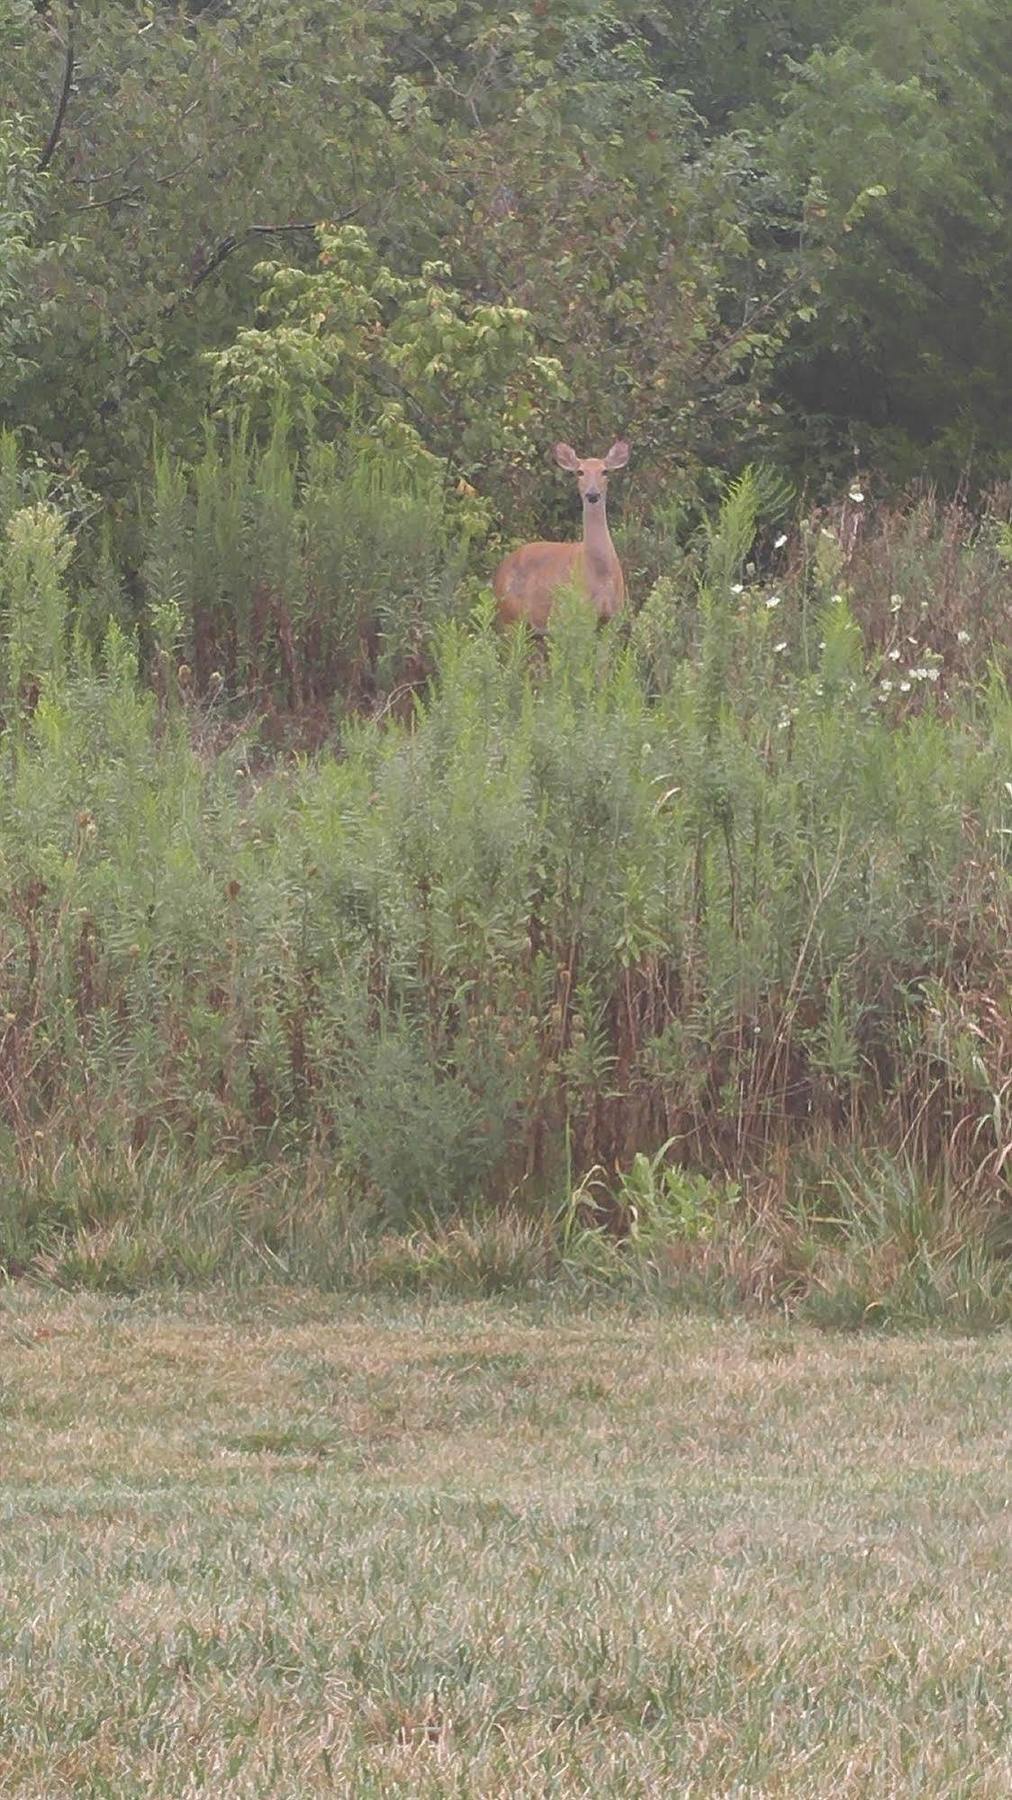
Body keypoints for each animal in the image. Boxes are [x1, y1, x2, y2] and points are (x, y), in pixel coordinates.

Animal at [489, 435, 626, 633]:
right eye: (580, 472)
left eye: (605, 471)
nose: (592, 494)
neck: (599, 573)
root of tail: (498, 573)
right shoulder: (572, 615)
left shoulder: (613, 617)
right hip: (509, 617)